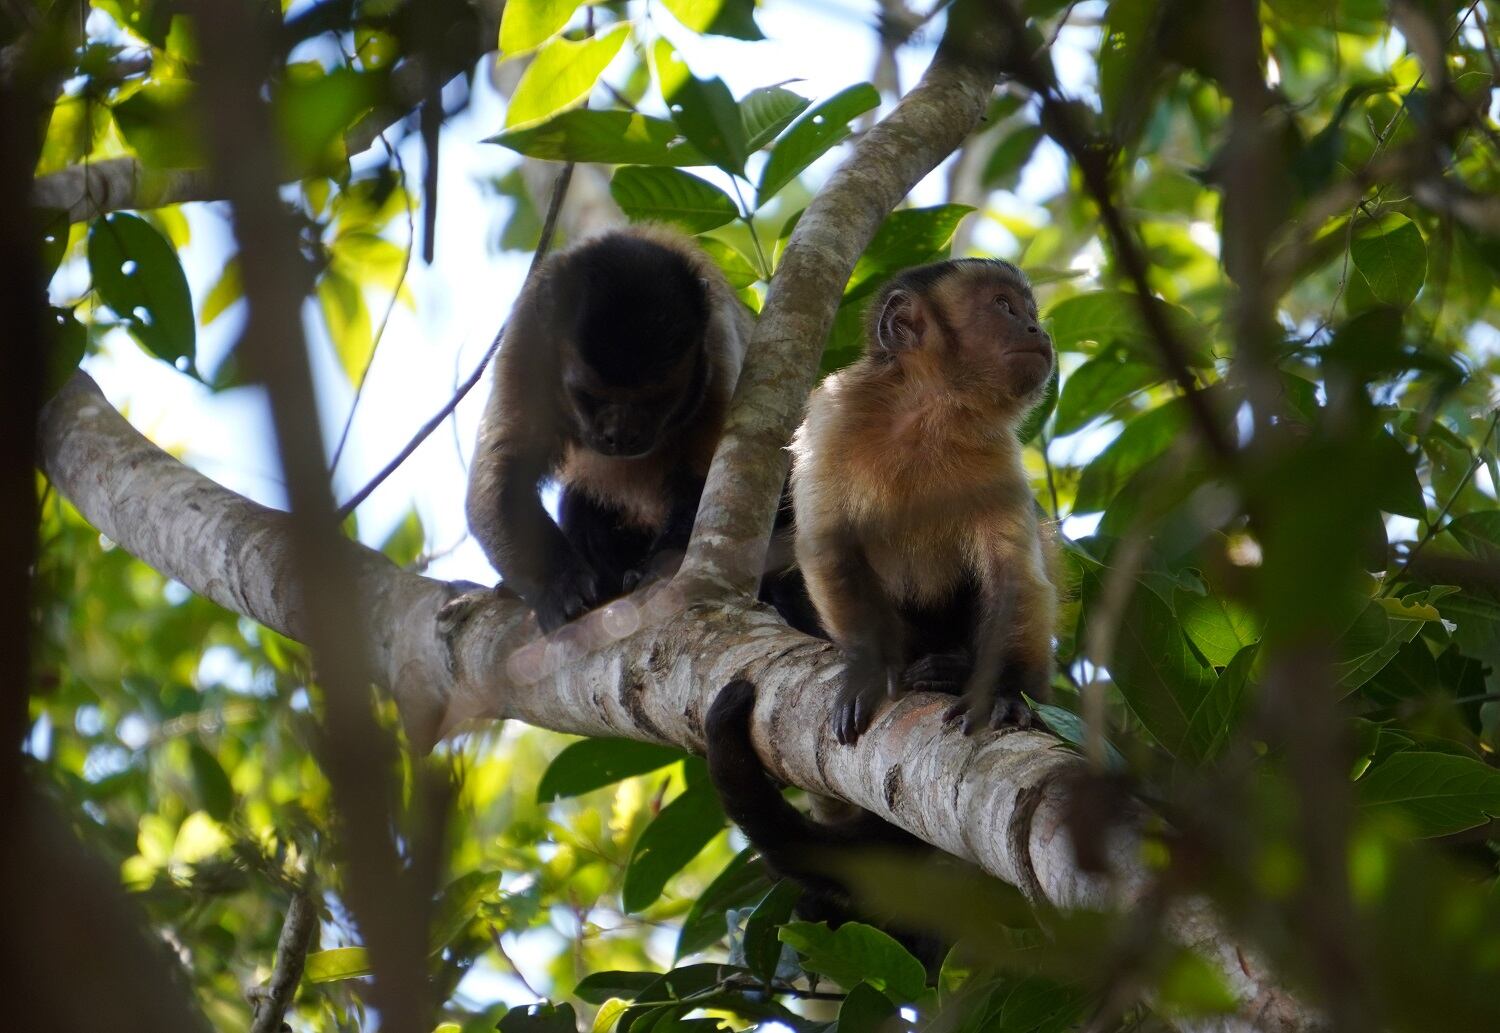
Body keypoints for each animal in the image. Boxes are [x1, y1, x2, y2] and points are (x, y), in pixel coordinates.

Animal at [465, 225, 751, 633]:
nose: (621, 435)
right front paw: (559, 585)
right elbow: (504, 473)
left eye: (657, 399)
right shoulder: (525, 342)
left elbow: (706, 478)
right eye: (589, 395)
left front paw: (661, 569)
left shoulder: (718, 343)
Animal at [789, 257, 1057, 745]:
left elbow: (1013, 578)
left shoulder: (996, 452)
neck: (927, 414)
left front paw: (1004, 692)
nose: (1036, 329)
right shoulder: (834, 414)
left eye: (1029, 311)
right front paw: (869, 669)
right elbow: (829, 548)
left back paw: (954, 671)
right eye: (1003, 305)